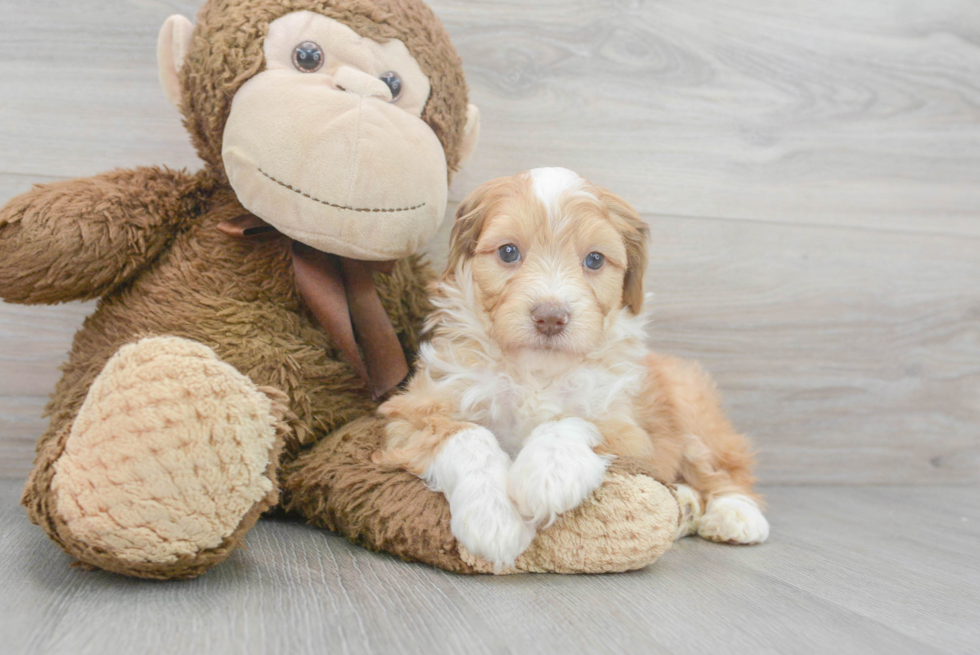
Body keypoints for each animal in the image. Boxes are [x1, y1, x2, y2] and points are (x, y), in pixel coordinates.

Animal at [374, 167, 764, 568]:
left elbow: (574, 420)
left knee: (725, 470)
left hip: (692, 411)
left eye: (594, 260)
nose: (550, 317)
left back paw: (736, 515)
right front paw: (494, 517)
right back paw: (687, 506)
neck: (535, 370)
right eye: (508, 252)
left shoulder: (628, 430)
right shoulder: (414, 411)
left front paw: (546, 475)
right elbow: (466, 435)